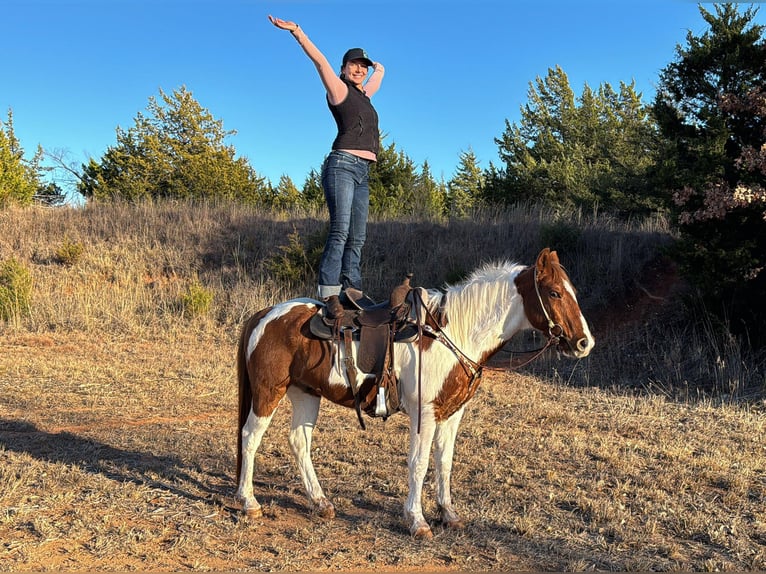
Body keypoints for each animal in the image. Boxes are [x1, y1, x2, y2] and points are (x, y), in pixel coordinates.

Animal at [235, 247, 594, 539]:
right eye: (554, 293)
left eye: (571, 292)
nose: (583, 343)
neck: (451, 333)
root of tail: (265, 314)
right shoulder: (426, 414)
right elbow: (419, 464)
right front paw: (417, 520)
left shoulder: (452, 414)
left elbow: (444, 462)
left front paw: (448, 514)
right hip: (269, 392)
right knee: (250, 436)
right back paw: (248, 501)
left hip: (306, 393)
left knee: (299, 442)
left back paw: (320, 502)